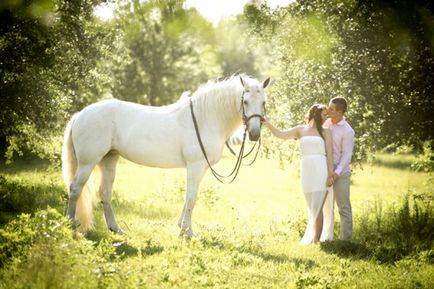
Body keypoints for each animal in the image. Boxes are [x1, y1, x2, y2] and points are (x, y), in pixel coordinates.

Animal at [62, 75, 270, 236]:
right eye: (245, 101)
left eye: (264, 103)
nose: (254, 134)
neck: (205, 118)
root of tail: (80, 114)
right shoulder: (195, 166)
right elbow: (191, 198)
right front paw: (188, 232)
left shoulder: (201, 168)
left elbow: (189, 197)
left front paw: (181, 227)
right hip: (88, 162)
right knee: (75, 189)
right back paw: (70, 224)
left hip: (109, 160)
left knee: (105, 192)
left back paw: (116, 229)